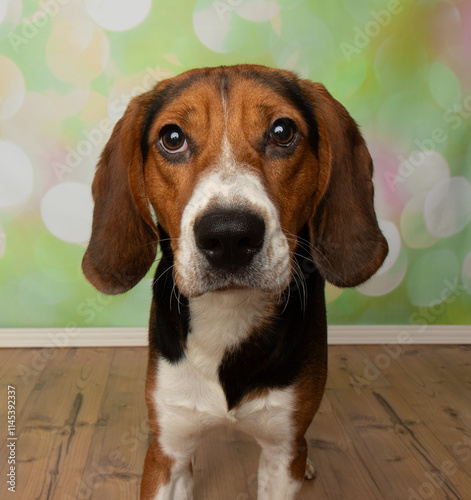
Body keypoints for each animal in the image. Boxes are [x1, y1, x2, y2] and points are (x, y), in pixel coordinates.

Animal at [83, 64, 390, 498]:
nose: (229, 235)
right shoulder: (167, 452)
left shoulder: (282, 451)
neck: (228, 315)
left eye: (282, 131)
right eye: (172, 138)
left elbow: (290, 450)